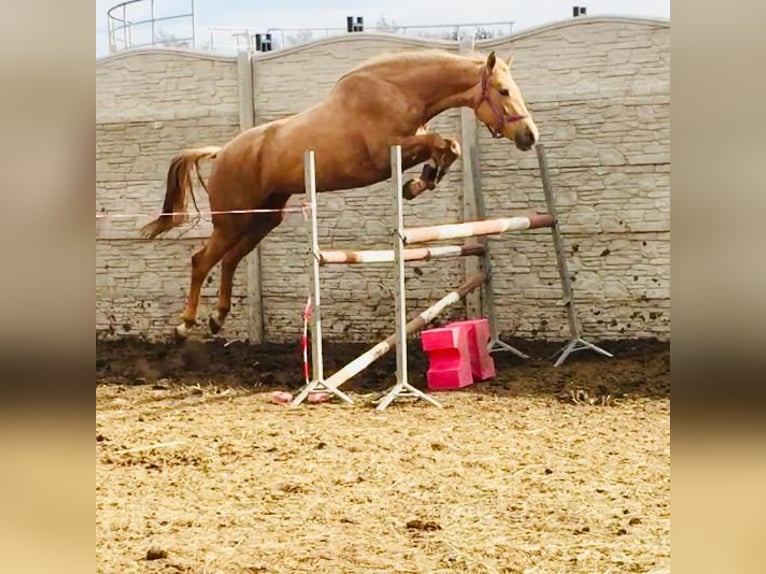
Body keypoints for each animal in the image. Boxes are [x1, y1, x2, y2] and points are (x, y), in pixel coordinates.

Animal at [141, 49, 539, 339]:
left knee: (228, 261)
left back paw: (217, 319)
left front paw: (421, 181)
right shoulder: (387, 153)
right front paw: (418, 182)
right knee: (202, 261)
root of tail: (222, 151)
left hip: (262, 220)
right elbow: (443, 142)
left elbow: (447, 146)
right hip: (231, 222)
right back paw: (185, 324)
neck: (398, 90)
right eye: (504, 91)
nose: (530, 136)